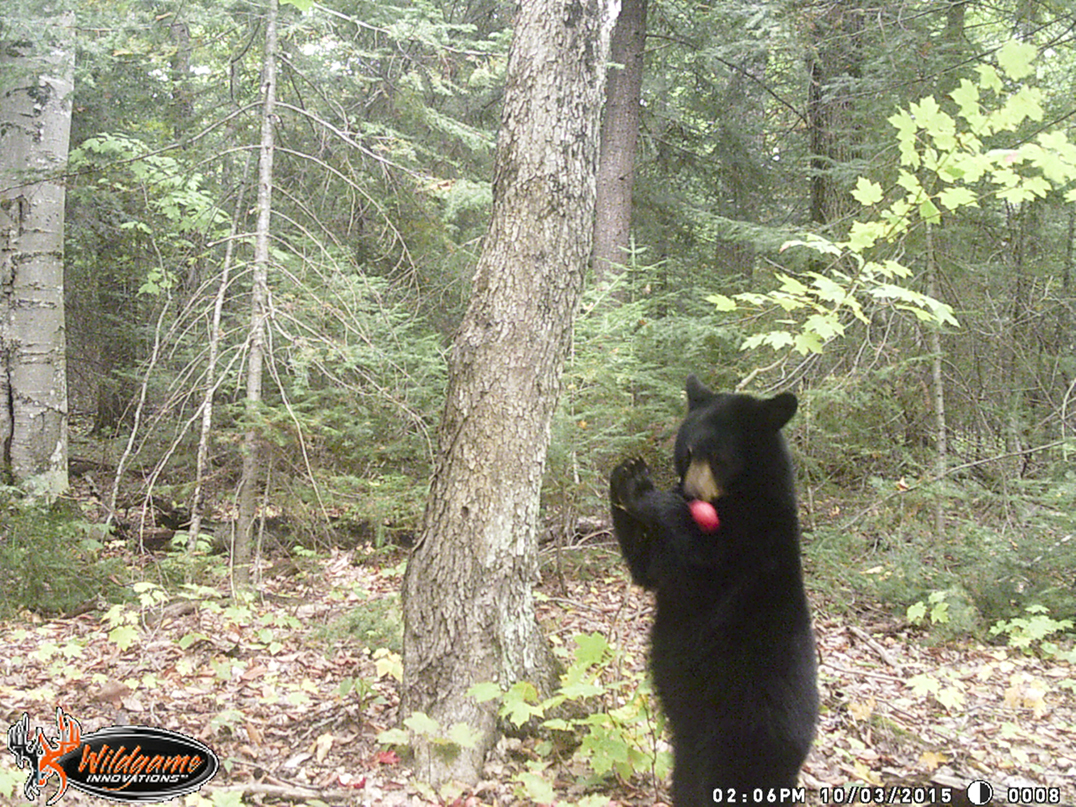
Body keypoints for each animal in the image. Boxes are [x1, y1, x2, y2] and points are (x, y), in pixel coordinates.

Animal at [609, 375, 818, 806]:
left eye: (720, 457)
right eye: (687, 452)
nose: (691, 494)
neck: (734, 500)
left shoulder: (746, 543)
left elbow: (696, 550)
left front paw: (641, 489)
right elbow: (647, 568)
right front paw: (623, 477)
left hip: (744, 731)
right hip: (693, 750)